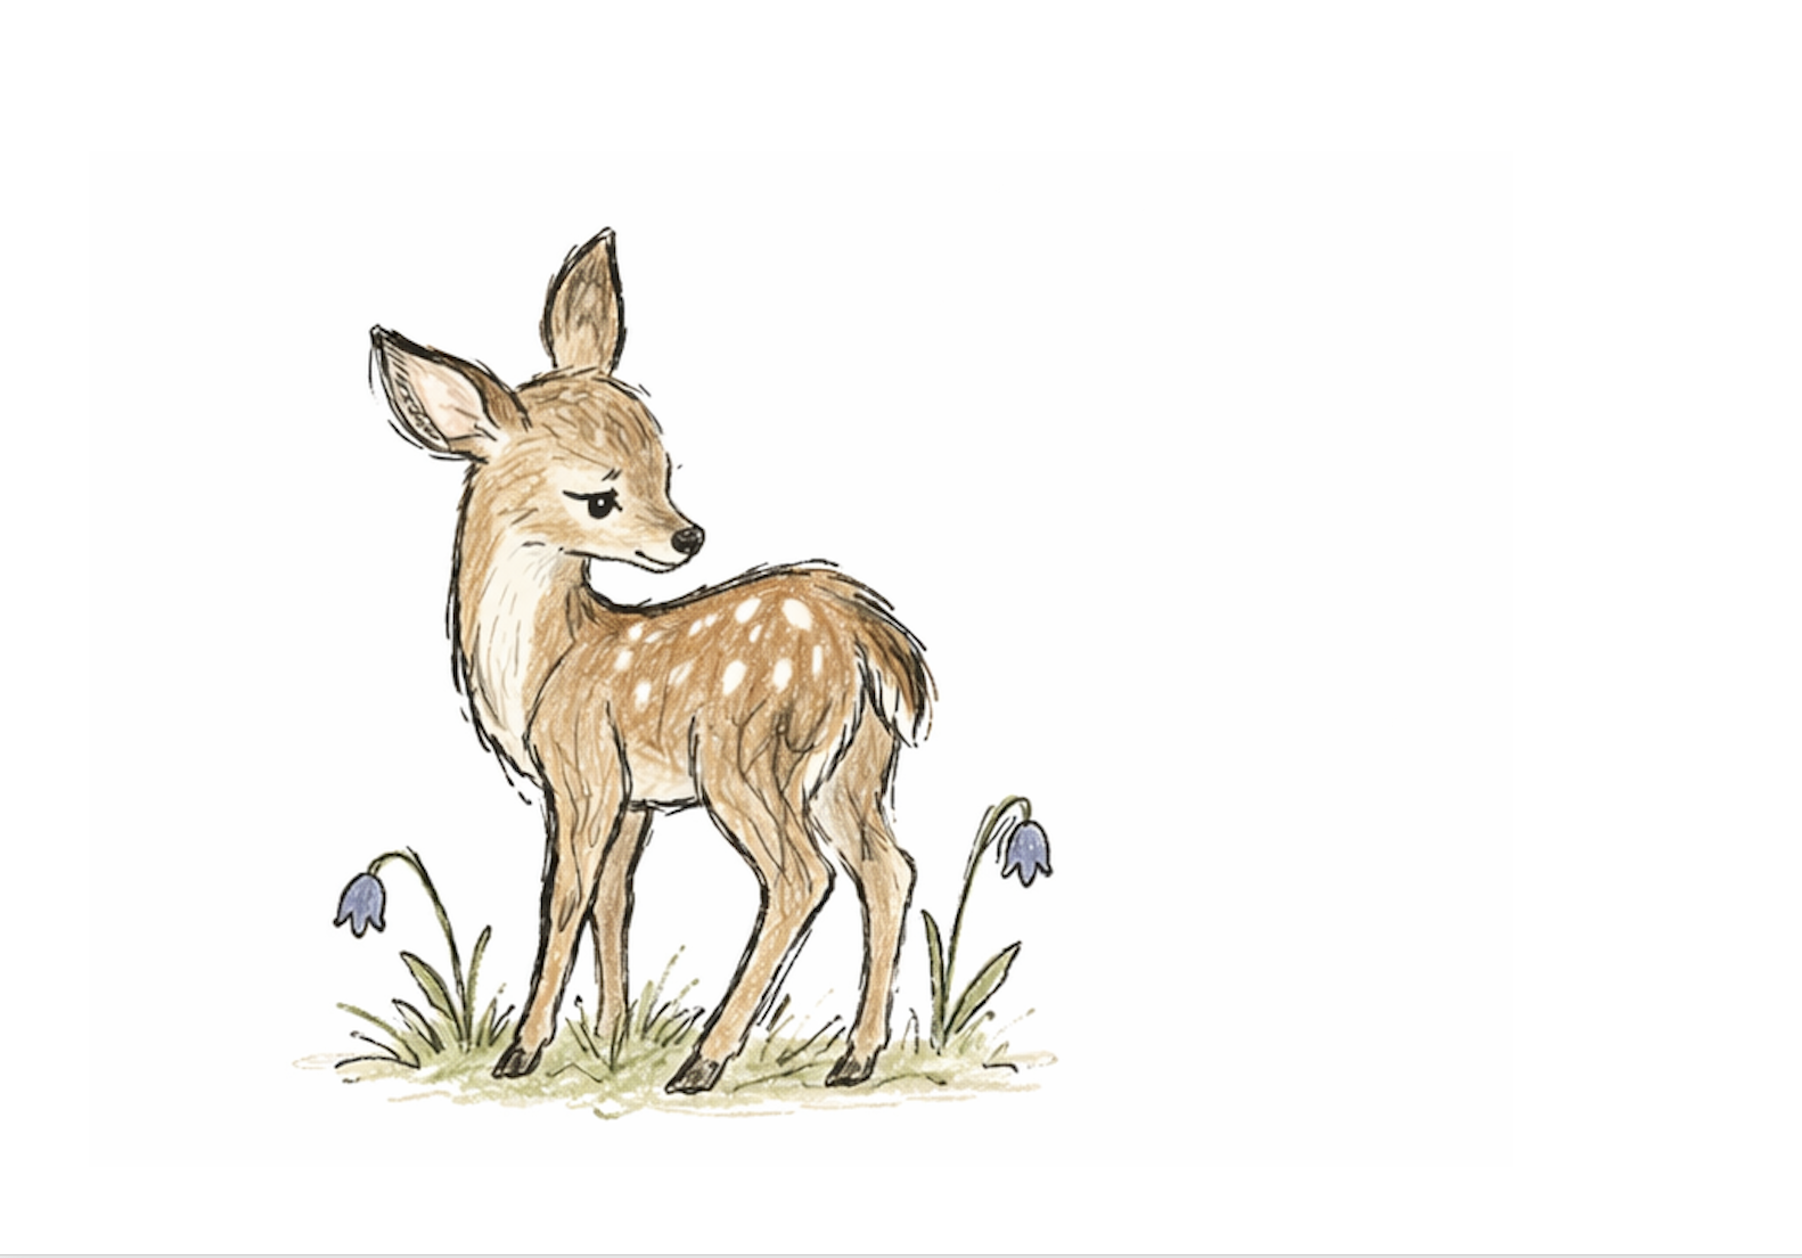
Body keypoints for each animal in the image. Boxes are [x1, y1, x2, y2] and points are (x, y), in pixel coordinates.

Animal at [369, 229, 933, 1093]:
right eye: (600, 497)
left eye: (665, 468)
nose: (688, 536)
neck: (546, 665)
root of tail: (874, 637)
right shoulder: (634, 797)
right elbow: (612, 900)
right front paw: (609, 1035)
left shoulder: (583, 770)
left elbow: (561, 898)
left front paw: (522, 1050)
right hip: (856, 764)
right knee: (888, 868)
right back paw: (854, 1058)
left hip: (750, 755)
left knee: (802, 877)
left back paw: (706, 1059)